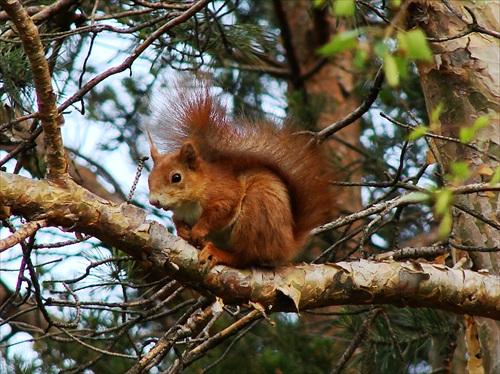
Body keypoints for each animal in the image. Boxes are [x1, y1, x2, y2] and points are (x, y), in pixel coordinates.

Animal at [148, 79, 336, 268]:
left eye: (176, 177)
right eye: (149, 179)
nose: (153, 201)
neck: (188, 203)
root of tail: (288, 246)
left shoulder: (225, 191)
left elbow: (219, 212)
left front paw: (199, 230)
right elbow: (176, 219)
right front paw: (182, 231)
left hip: (256, 214)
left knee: (246, 256)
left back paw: (218, 253)